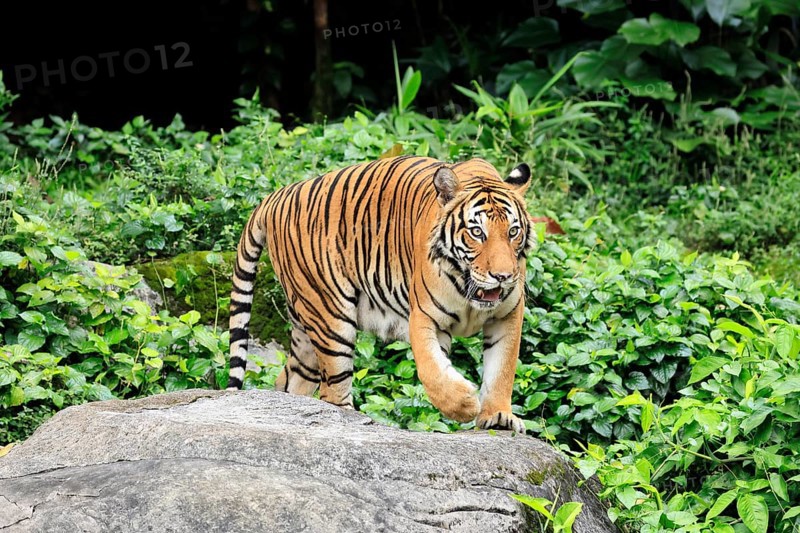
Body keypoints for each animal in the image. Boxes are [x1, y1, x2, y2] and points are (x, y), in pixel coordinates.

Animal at [227, 155, 556, 433]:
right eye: (477, 233)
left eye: (513, 232)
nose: (503, 276)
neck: (468, 292)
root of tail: (276, 196)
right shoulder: (424, 316)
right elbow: (432, 372)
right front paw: (464, 404)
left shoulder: (507, 316)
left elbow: (502, 369)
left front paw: (497, 416)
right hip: (330, 317)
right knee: (333, 390)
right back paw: (351, 420)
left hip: (306, 332)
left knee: (290, 381)